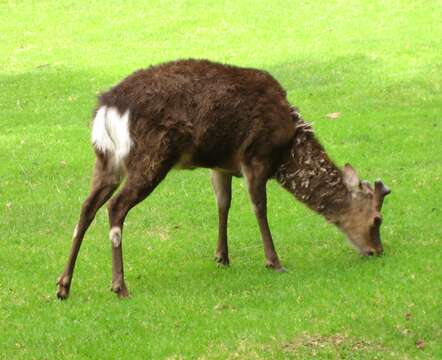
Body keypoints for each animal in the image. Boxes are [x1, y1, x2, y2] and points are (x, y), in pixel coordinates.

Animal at [56, 59, 390, 300]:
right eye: (377, 219)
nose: (377, 251)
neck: (287, 148)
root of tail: (106, 108)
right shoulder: (256, 157)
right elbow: (259, 208)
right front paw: (274, 262)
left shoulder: (222, 165)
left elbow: (223, 204)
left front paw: (222, 257)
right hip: (150, 157)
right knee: (115, 207)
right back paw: (119, 287)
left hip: (106, 162)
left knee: (86, 208)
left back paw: (63, 285)